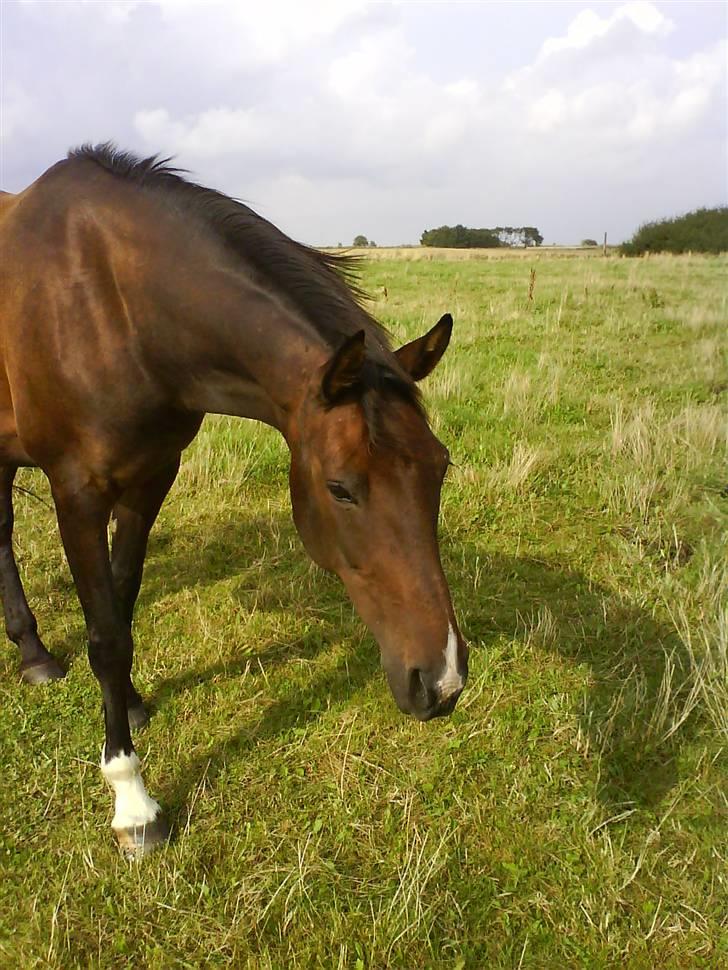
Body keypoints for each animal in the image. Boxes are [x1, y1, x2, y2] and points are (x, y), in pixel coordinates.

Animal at [0, 144, 466, 856]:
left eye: (439, 469)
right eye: (340, 488)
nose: (440, 681)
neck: (111, 304)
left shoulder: (152, 476)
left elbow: (123, 602)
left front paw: (129, 700)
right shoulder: (75, 492)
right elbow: (105, 635)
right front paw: (133, 803)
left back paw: (32, 654)